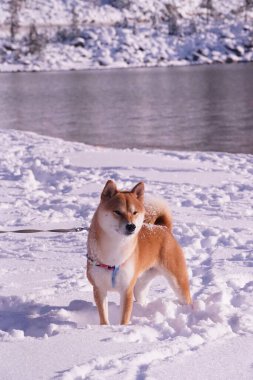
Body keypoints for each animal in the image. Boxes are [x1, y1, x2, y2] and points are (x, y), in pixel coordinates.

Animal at [87, 180, 192, 324]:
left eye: (135, 212)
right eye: (117, 212)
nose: (131, 226)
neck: (115, 249)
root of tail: (162, 227)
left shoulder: (126, 290)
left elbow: (124, 318)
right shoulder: (99, 289)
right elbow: (104, 317)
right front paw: (106, 327)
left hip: (177, 281)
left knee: (187, 298)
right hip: (140, 285)